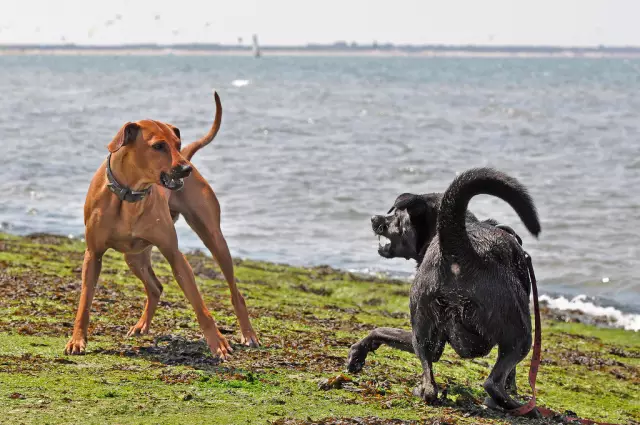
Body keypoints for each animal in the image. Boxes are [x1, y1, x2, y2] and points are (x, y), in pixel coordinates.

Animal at [63, 92, 258, 358]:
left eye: (177, 144)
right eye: (158, 146)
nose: (185, 169)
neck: (130, 194)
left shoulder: (174, 254)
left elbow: (200, 305)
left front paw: (217, 342)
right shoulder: (93, 254)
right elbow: (84, 301)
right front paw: (77, 340)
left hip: (214, 239)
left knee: (236, 293)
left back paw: (248, 334)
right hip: (134, 256)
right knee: (155, 287)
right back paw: (141, 325)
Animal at [350, 167, 540, 416]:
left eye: (396, 217)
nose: (374, 219)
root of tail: (459, 247)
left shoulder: (427, 336)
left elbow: (381, 330)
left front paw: (358, 351)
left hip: (423, 327)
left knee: (431, 386)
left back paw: (422, 391)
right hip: (521, 335)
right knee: (493, 383)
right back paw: (521, 407)